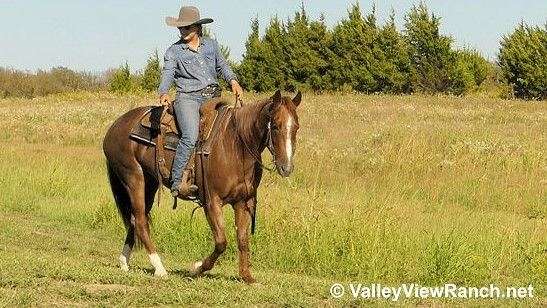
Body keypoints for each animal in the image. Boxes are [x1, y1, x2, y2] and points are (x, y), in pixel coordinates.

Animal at [100, 89, 302, 284]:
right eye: (275, 126)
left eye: (296, 127)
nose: (286, 167)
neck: (235, 146)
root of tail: (115, 126)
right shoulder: (212, 202)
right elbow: (221, 242)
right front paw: (197, 268)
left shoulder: (242, 202)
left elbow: (243, 240)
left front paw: (246, 276)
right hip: (134, 178)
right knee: (141, 221)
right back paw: (159, 268)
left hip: (150, 183)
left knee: (134, 219)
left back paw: (124, 262)